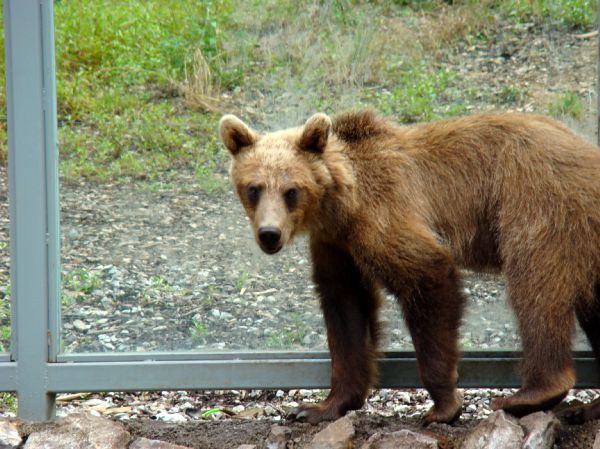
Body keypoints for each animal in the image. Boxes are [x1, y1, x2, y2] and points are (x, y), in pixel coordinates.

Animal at [218, 108, 600, 424]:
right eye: (254, 188)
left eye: (291, 190)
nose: (270, 234)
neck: (341, 203)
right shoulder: (336, 245)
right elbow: (345, 310)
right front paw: (319, 407)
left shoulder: (384, 214)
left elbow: (427, 276)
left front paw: (443, 405)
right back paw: (587, 407)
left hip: (538, 202)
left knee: (535, 287)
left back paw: (529, 395)